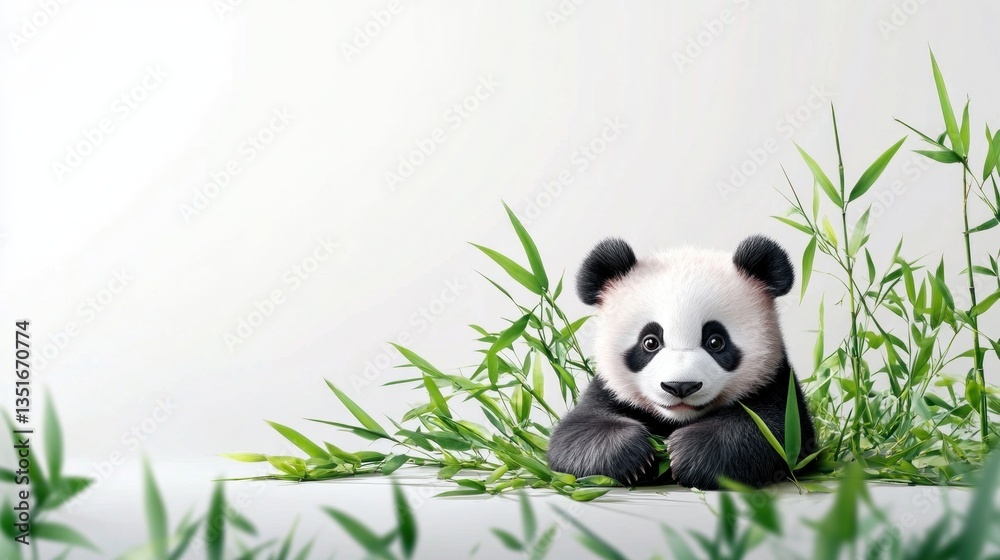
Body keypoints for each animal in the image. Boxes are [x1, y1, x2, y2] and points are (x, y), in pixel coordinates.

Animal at [547, 235, 815, 489]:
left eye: (715, 341)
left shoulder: (776, 384)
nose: (680, 386)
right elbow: (572, 435)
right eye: (650, 342)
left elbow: (778, 434)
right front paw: (635, 454)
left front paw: (688, 454)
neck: (678, 418)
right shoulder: (608, 390)